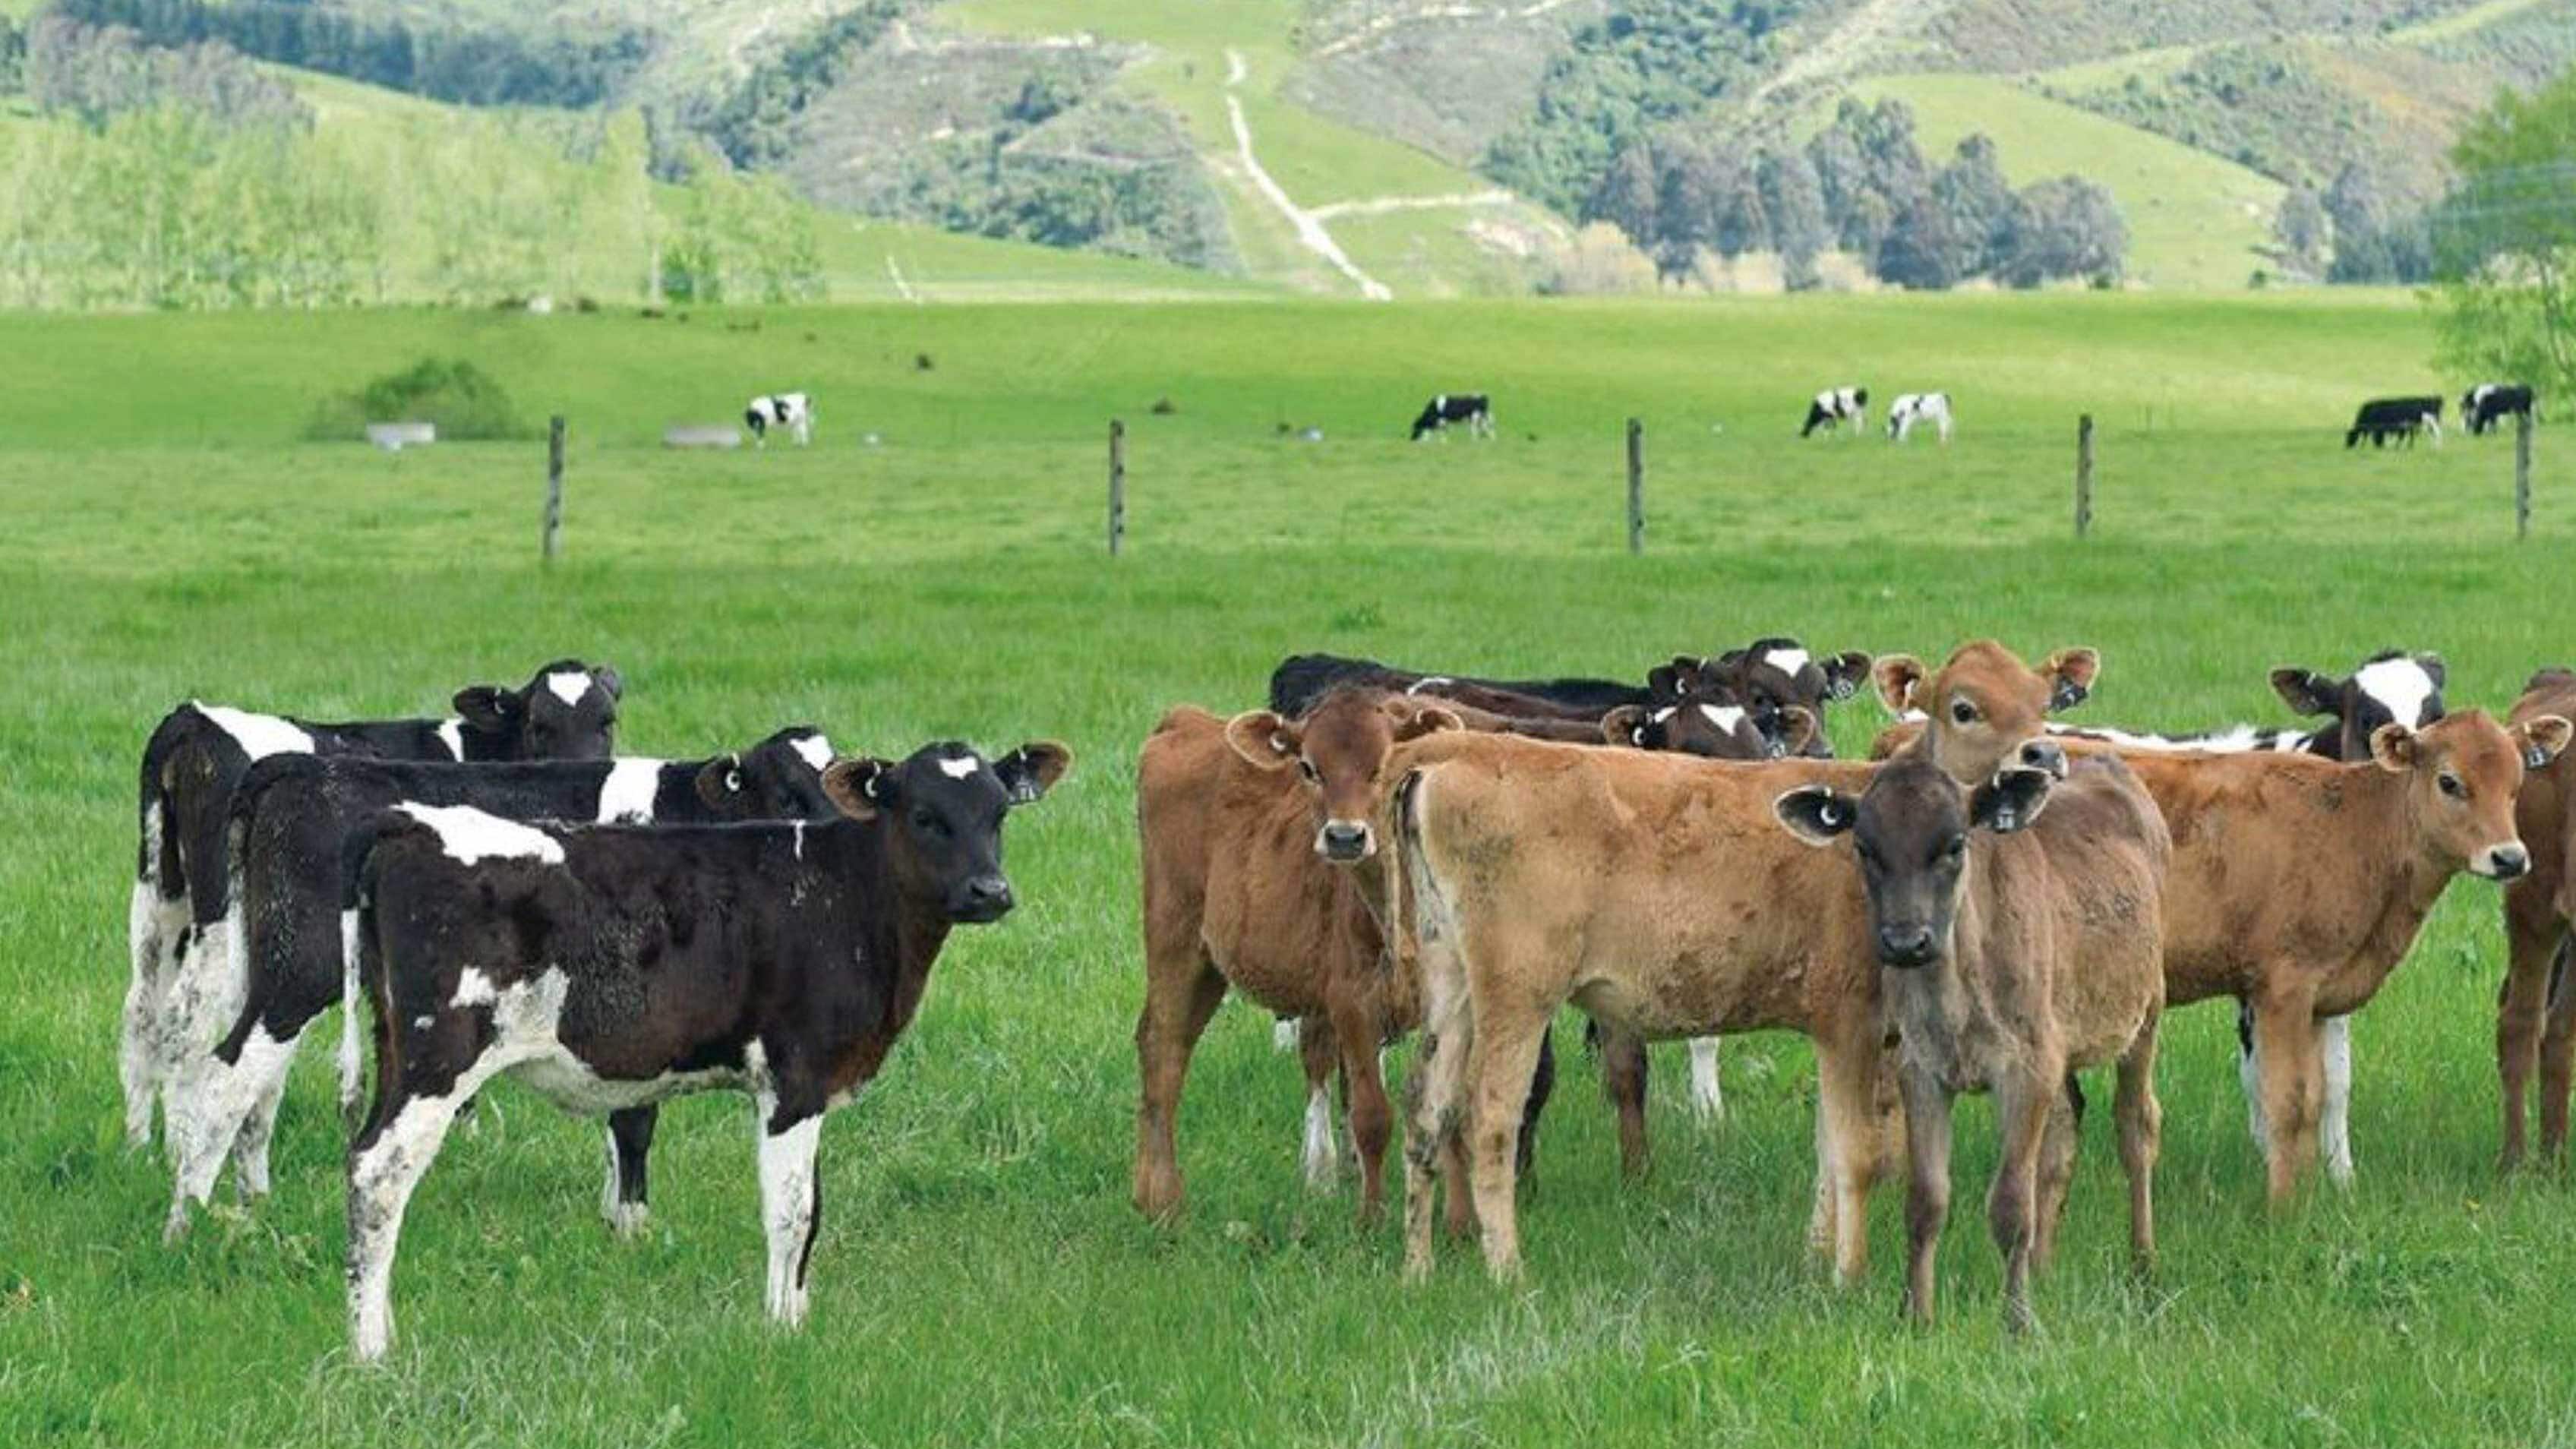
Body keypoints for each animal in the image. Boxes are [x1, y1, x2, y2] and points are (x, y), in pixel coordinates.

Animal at [123, 660, 621, 1149]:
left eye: (607, 722)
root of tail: (194, 719)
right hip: (223, 921)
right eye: (539, 725)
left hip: (162, 899)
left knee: (143, 1008)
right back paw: (178, 1144)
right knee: (187, 1018)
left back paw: (139, 1146)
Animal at [155, 728, 838, 1241]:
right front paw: (632, 1228)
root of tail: (294, 768)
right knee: (223, 1079)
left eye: (835, 781)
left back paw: (248, 1204)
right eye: (786, 792)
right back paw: (189, 1223)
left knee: (243, 1084)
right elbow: (635, 1120)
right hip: (298, 975)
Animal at [342, 738, 1071, 1362]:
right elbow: (791, 1210)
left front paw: (798, 1316)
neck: (843, 895)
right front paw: (780, 1328)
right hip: (440, 1060)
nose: (990, 891)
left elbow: (813, 1207)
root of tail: (409, 824)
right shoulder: (795, 1078)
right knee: (379, 1174)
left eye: (999, 813)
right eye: (924, 815)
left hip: (396, 1048)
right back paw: (370, 1350)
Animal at [1385, 641, 2091, 1285]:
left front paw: (1816, 1256)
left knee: (1426, 1108)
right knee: (1488, 1116)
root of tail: (1451, 758)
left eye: (2045, 702)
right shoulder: (1850, 1022)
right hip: (1517, 994)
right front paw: (1849, 1274)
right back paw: (1507, 1272)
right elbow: (1856, 1153)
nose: (2045, 755)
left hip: (1452, 983)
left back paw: (1416, 1269)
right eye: (1964, 708)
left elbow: (1828, 1148)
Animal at [1774, 746, 2167, 1331]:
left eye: (1956, 844)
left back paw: (2143, 1266)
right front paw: (1915, 1315)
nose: (1906, 941)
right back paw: (2043, 1267)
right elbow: (1926, 1200)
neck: (1955, 1004)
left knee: (2135, 1129)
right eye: (1864, 847)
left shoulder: (2026, 1067)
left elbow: (2010, 1204)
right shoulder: (1921, 1068)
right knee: (2062, 1130)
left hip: (2145, 1011)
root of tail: (2102, 762)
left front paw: (2019, 1323)